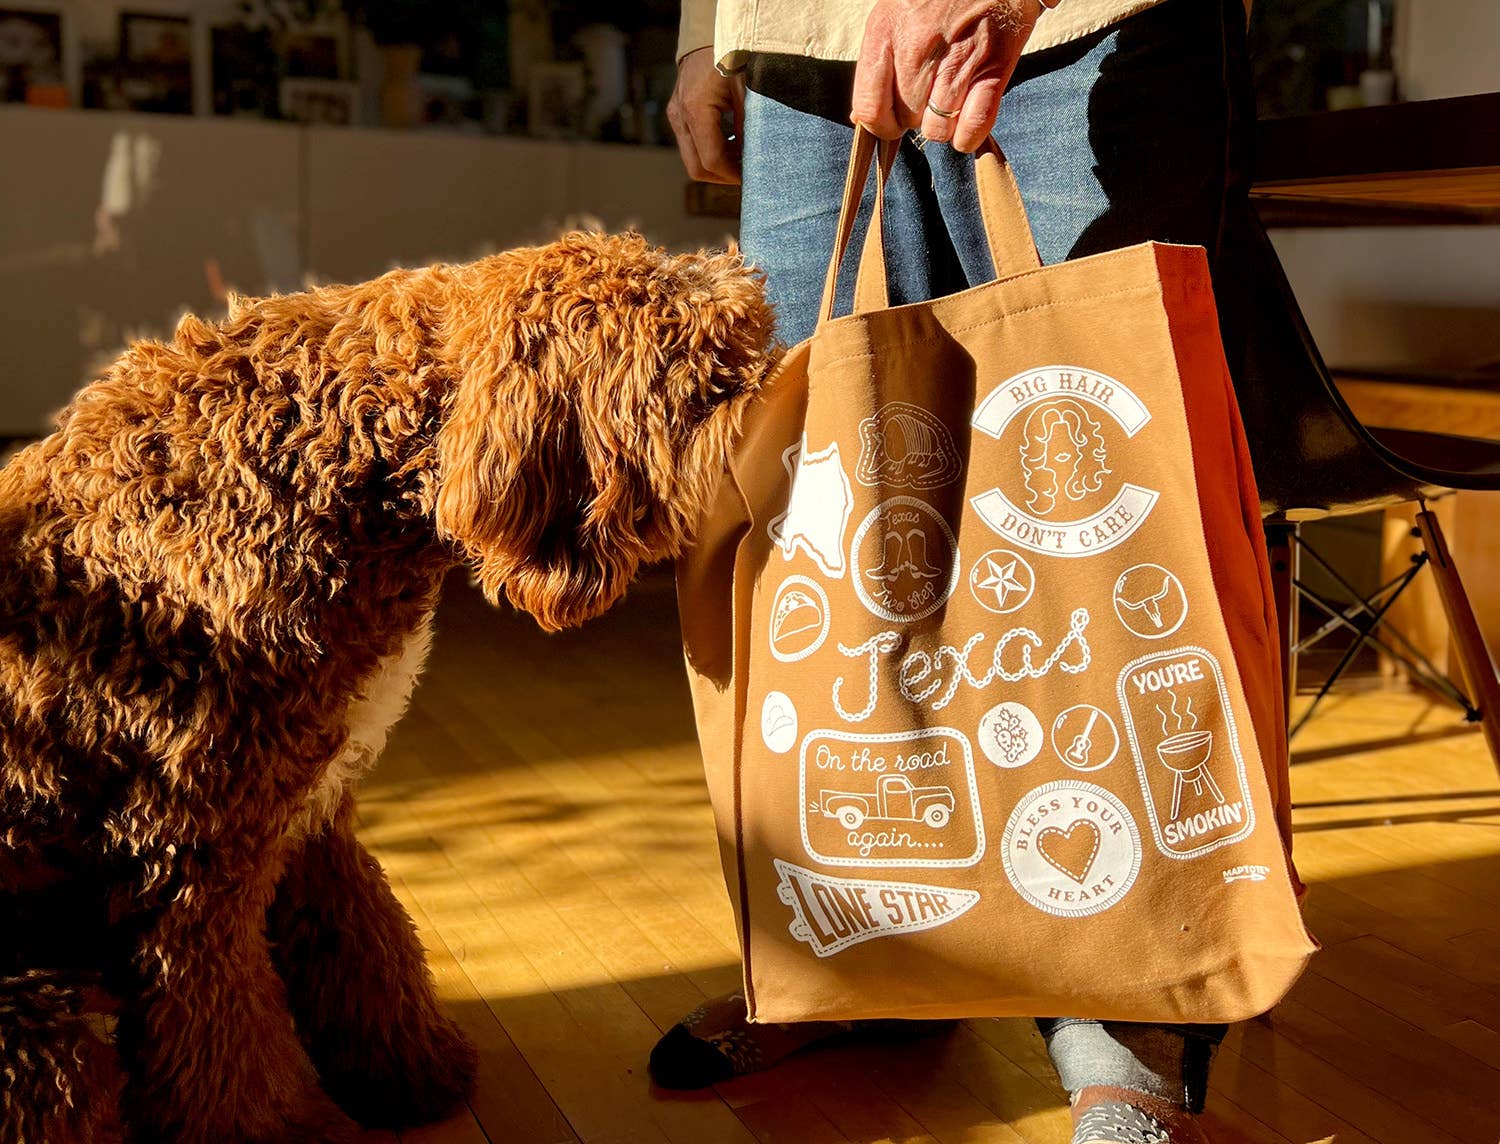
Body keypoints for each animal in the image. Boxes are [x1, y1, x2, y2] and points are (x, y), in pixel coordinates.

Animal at [0, 227, 774, 1139]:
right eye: (710, 380)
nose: (783, 404)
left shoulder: (312, 808)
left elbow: (365, 946)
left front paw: (412, 1071)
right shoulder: (190, 860)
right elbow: (221, 1038)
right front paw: (267, 1127)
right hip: (39, 1025)